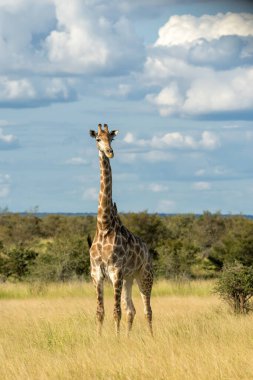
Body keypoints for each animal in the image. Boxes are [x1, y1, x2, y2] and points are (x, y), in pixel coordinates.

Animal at [88, 124, 153, 336]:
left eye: (112, 138)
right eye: (98, 139)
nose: (110, 152)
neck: (104, 225)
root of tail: (148, 250)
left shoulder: (116, 271)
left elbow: (116, 311)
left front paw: (115, 340)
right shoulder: (97, 273)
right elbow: (100, 312)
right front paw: (100, 338)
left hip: (144, 276)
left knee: (147, 310)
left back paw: (151, 337)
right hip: (129, 279)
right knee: (131, 309)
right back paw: (127, 337)